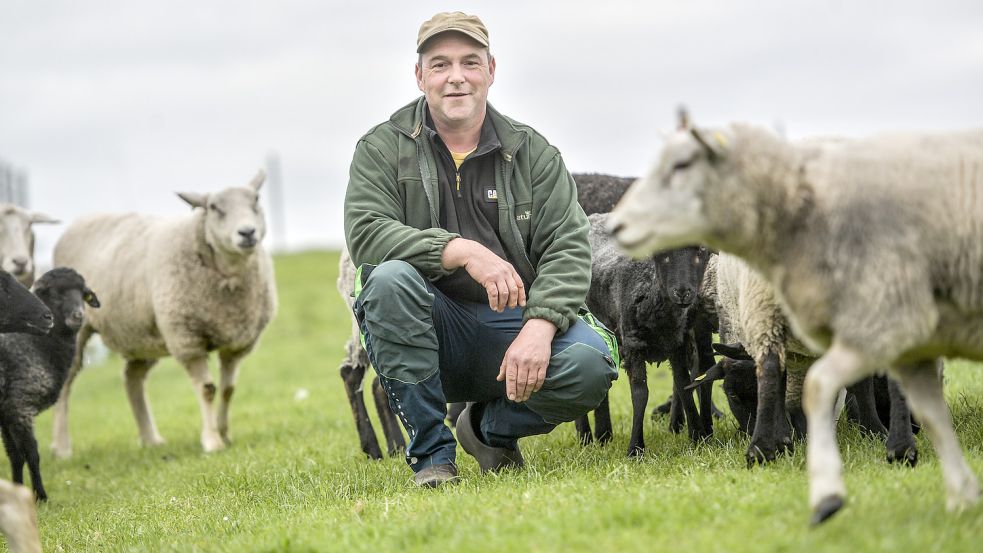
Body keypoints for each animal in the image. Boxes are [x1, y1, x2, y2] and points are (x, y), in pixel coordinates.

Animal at [50, 171, 276, 458]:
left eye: (256, 199)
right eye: (214, 207)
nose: (247, 232)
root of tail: (79, 221)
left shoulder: (235, 344)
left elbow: (228, 390)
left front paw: (225, 434)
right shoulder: (187, 340)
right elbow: (208, 390)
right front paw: (212, 441)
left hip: (140, 334)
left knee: (132, 380)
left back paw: (150, 439)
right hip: (75, 327)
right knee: (66, 382)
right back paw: (62, 448)